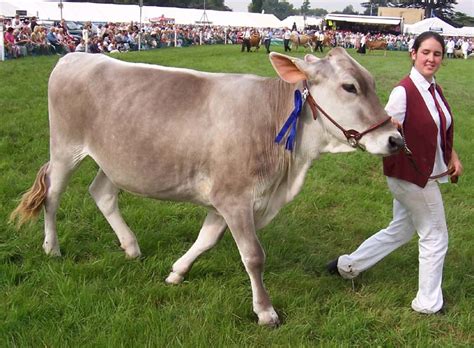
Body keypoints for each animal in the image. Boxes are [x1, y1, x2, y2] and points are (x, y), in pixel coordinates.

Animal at [11, 48, 404, 326]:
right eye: (349, 86)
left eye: (371, 82)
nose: (395, 139)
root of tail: (75, 56)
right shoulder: (235, 198)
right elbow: (253, 255)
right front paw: (266, 312)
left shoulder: (226, 199)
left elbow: (207, 239)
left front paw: (176, 272)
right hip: (65, 147)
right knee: (52, 195)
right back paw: (52, 248)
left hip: (119, 159)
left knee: (102, 193)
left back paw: (131, 247)